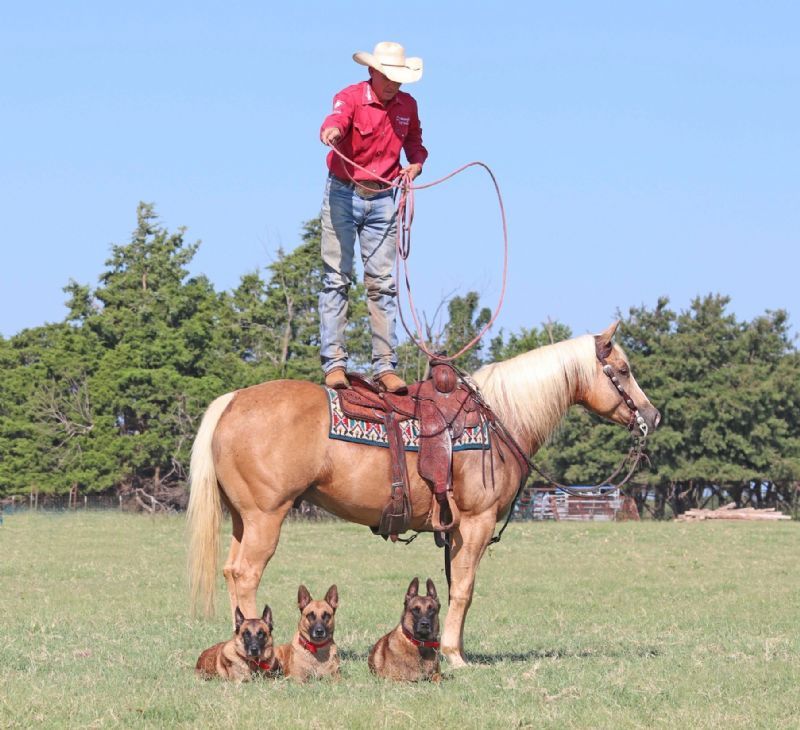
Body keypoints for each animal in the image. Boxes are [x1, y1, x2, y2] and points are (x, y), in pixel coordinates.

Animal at [187, 321, 660, 667]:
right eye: (621, 370)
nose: (651, 416)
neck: (499, 419)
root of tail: (233, 400)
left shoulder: (454, 532)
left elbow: (457, 587)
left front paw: (453, 648)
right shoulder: (475, 522)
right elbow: (464, 589)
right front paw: (455, 656)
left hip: (243, 519)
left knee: (231, 572)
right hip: (266, 516)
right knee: (246, 574)